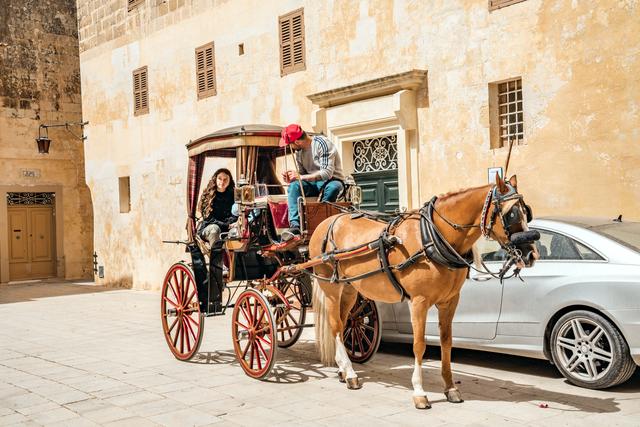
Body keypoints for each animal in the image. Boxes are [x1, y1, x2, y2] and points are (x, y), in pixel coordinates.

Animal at [310, 175, 540, 412]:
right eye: (511, 213)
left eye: (527, 211)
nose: (531, 254)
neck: (433, 236)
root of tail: (328, 222)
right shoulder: (418, 302)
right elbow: (419, 345)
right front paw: (419, 392)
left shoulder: (450, 301)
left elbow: (446, 342)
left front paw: (450, 388)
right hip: (330, 287)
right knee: (336, 326)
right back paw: (350, 373)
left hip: (349, 289)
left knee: (343, 322)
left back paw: (342, 369)